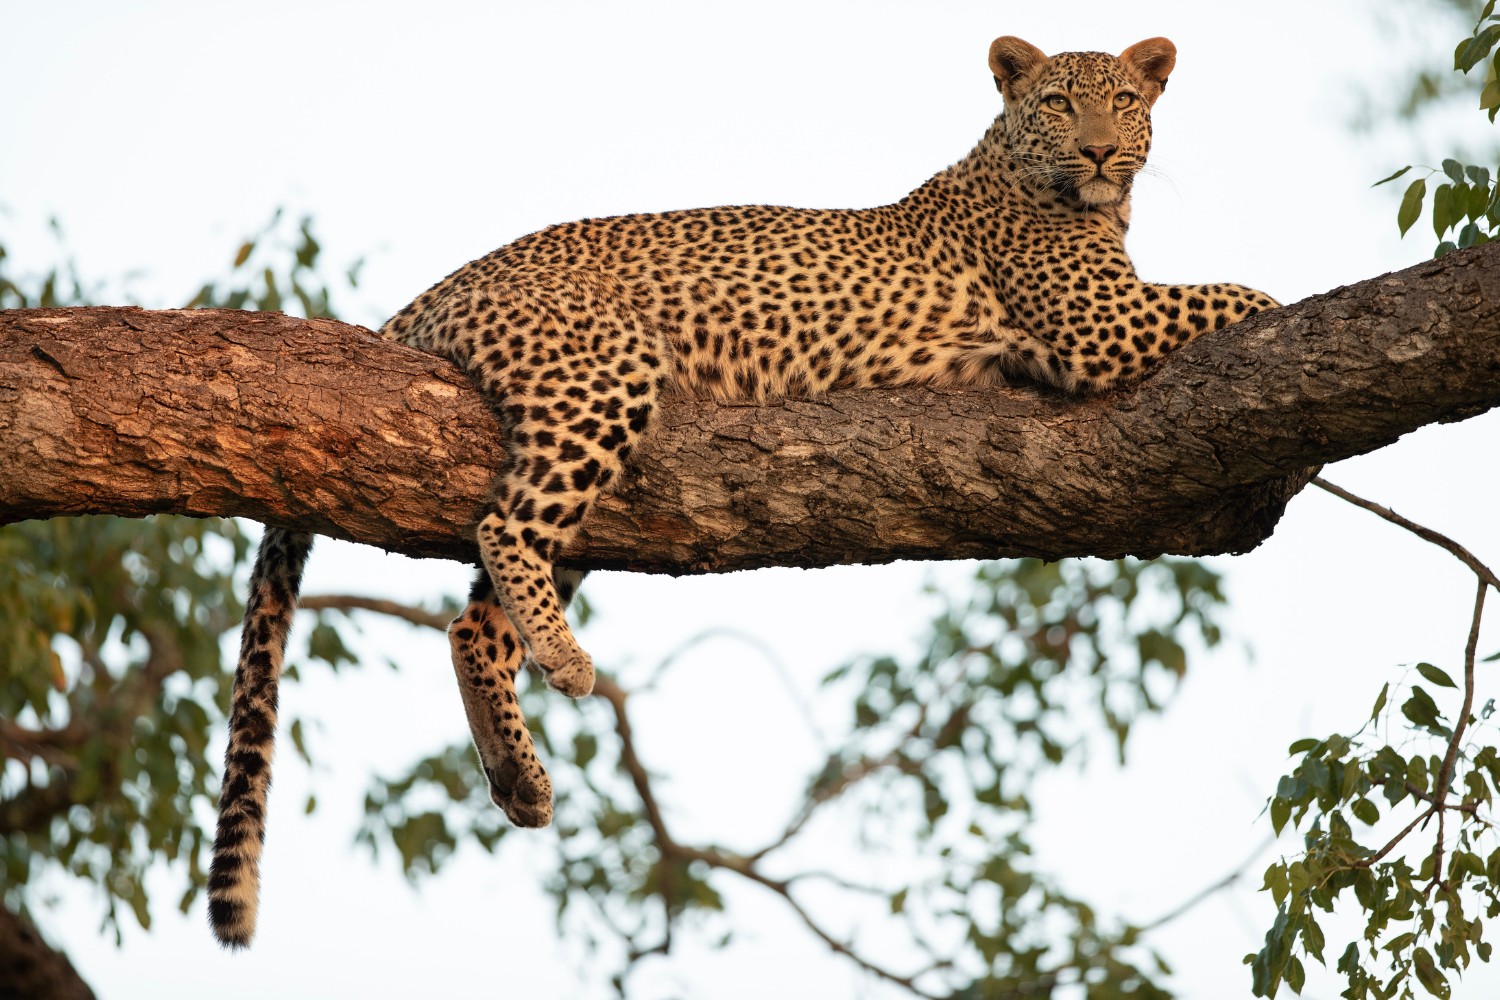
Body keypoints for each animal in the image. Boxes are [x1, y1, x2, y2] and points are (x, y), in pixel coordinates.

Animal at [207, 34, 1279, 947]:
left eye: (1126, 101)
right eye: (1059, 102)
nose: (1100, 151)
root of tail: (434, 291)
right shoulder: (1101, 325)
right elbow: (1245, 294)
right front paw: (1285, 308)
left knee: (474, 619)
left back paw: (519, 776)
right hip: (603, 375)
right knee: (503, 526)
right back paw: (567, 663)